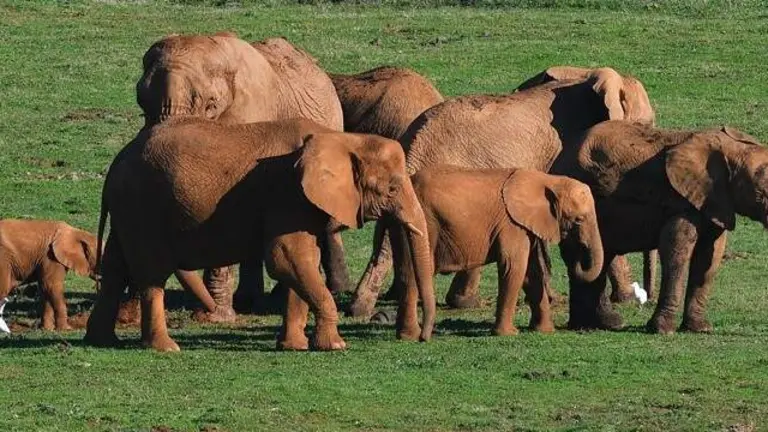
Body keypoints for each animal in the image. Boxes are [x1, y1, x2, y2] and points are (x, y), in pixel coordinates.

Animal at [83, 118, 435, 352]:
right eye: (392, 188)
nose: (421, 338)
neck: (342, 138)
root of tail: (116, 163)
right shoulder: (288, 193)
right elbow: (286, 257)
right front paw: (334, 346)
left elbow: (301, 263)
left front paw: (294, 347)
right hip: (143, 208)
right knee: (151, 273)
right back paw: (165, 348)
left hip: (128, 211)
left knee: (115, 269)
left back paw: (101, 341)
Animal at [392, 166, 604, 335]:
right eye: (579, 219)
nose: (577, 257)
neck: (548, 180)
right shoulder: (511, 224)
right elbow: (514, 267)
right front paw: (509, 334)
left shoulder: (524, 225)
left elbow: (532, 273)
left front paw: (545, 331)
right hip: (425, 223)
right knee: (414, 272)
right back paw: (414, 336)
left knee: (406, 273)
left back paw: (408, 336)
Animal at [564, 120, 768, 333]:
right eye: (760, 195)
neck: (732, 148)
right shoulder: (683, 201)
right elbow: (676, 249)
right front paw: (663, 330)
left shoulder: (713, 201)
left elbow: (710, 256)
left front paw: (700, 329)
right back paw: (592, 325)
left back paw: (595, 324)